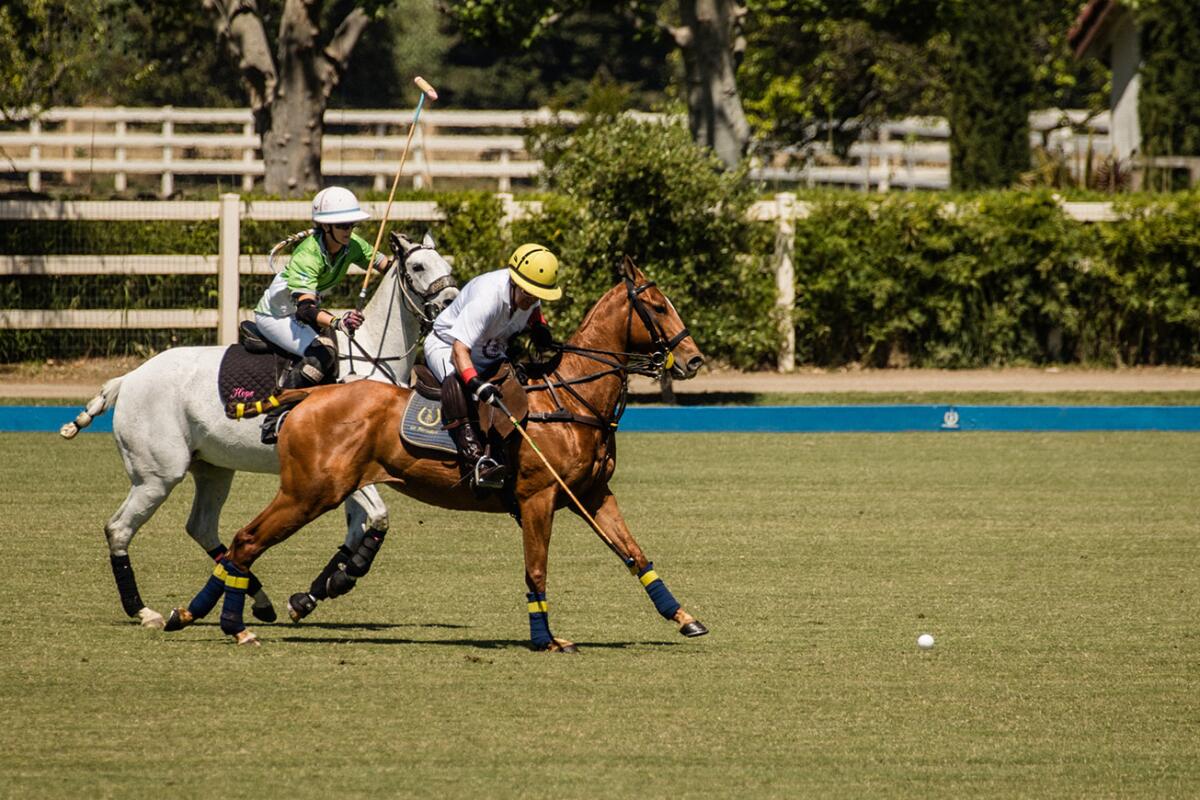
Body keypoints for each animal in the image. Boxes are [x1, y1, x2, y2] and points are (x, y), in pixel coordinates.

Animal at [59, 232, 458, 633]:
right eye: (417, 267)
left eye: (446, 265)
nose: (450, 302)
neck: (371, 357)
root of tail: (127, 380)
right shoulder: (344, 469)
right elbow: (377, 517)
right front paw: (334, 583)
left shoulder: (355, 471)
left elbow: (358, 528)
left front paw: (311, 596)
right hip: (157, 475)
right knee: (119, 528)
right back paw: (143, 610)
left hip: (213, 469)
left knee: (201, 527)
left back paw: (259, 599)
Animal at [174, 257, 705, 652]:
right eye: (657, 307)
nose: (694, 360)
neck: (571, 399)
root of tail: (310, 394)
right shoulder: (537, 497)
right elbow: (536, 569)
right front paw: (546, 638)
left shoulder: (594, 495)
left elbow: (635, 553)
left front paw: (684, 617)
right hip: (310, 491)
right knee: (246, 539)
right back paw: (228, 623)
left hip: (312, 490)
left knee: (239, 541)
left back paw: (193, 614)